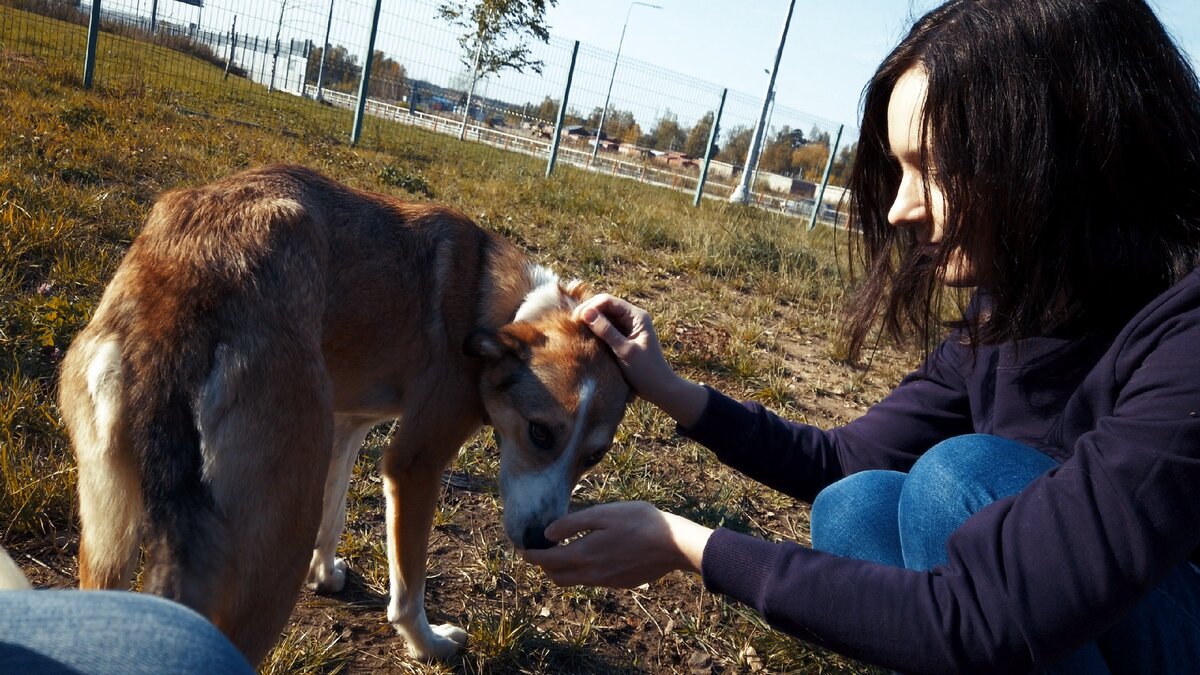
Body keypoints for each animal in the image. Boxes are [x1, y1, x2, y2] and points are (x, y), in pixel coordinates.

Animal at [58, 164, 628, 662]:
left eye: (595, 458)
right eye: (540, 433)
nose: (539, 541)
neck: (498, 301)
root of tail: (181, 291)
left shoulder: (345, 425)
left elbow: (333, 518)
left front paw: (326, 574)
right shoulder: (413, 464)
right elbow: (408, 587)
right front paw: (427, 644)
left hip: (110, 535)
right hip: (277, 539)